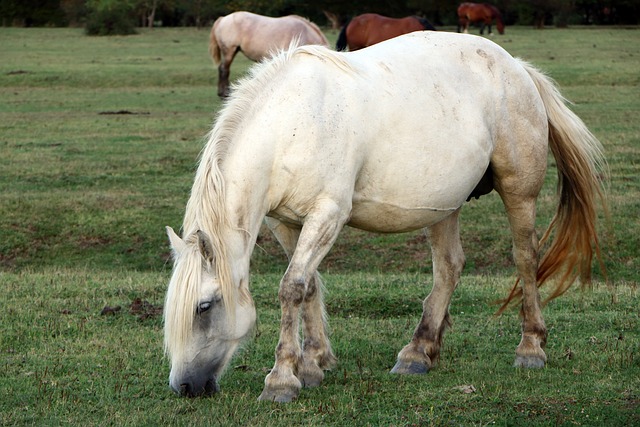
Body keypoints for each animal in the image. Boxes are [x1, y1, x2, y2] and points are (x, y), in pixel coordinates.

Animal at [164, 31, 604, 402]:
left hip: (519, 192)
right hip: (444, 205)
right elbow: (309, 285)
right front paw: (314, 363)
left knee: (526, 258)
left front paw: (282, 379)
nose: (184, 386)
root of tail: (517, 67)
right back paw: (419, 352)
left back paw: (531, 347)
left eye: (204, 307)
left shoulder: (327, 215)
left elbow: (292, 287)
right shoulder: (285, 222)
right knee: (449, 268)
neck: (291, 126)